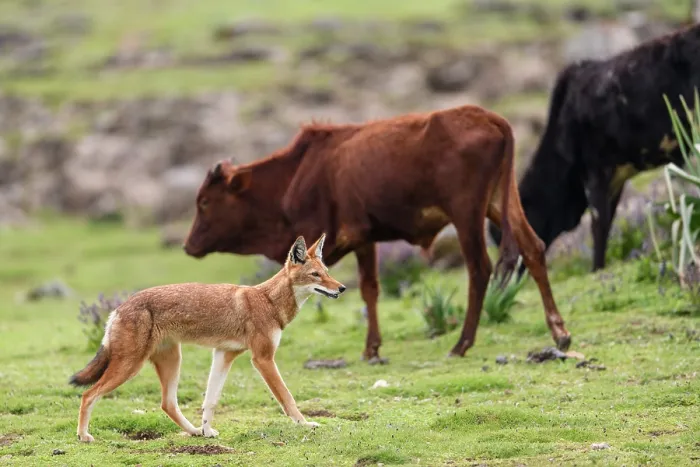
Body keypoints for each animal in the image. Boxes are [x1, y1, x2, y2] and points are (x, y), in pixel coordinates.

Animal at [183, 105, 571, 363]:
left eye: (204, 202)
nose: (188, 246)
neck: (298, 176)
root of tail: (491, 117)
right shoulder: (365, 238)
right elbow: (370, 289)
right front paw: (372, 347)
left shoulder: (345, 236)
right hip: (500, 202)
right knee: (534, 249)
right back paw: (560, 333)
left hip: (467, 214)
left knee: (480, 268)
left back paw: (462, 343)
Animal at [489, 22, 700, 275]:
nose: (500, 278)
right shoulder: (616, 175)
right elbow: (607, 221)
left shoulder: (595, 170)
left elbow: (599, 226)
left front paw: (597, 269)